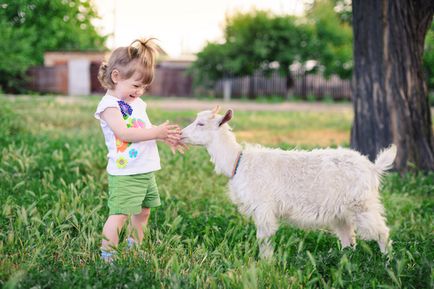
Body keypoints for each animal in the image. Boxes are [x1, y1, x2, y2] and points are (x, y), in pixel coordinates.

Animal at [181, 106, 396, 256]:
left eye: (201, 124)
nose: (181, 134)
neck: (238, 162)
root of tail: (372, 168)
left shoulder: (263, 207)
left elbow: (264, 237)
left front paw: (266, 263)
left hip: (362, 204)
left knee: (382, 232)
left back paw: (387, 261)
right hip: (341, 212)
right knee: (348, 238)